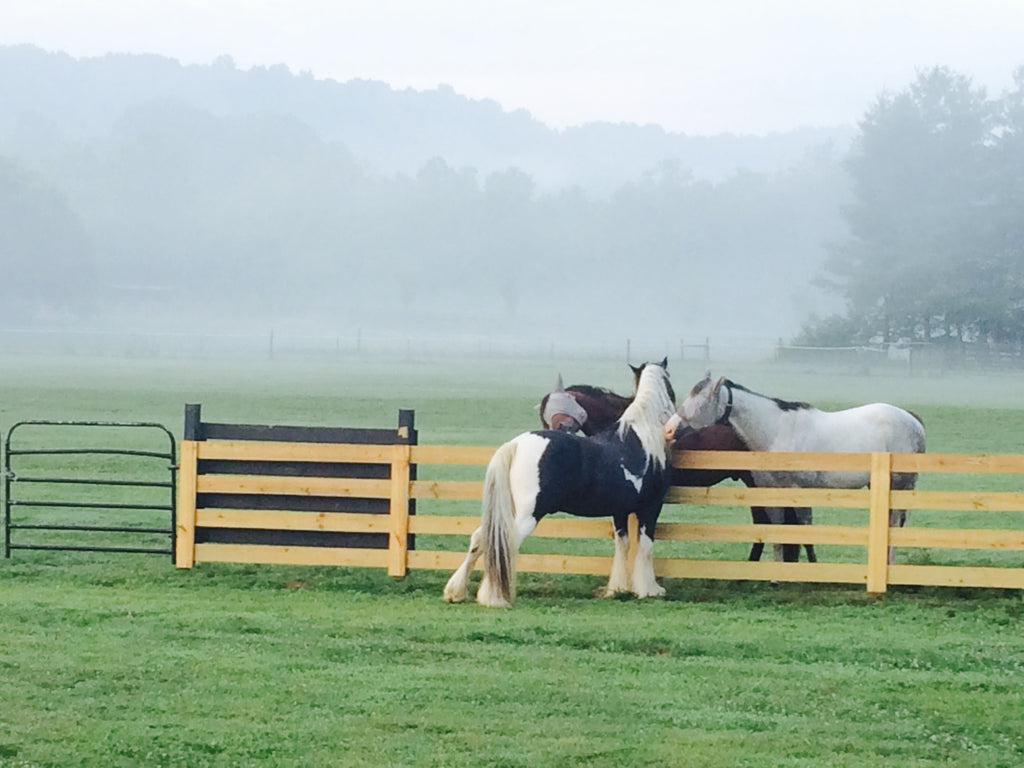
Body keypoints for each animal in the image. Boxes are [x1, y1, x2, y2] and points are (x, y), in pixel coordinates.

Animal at [444, 360, 675, 606]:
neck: (642, 434)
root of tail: (515, 445)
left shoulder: (620, 511)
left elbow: (622, 546)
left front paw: (619, 588)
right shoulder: (650, 508)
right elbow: (646, 546)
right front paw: (649, 590)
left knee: (482, 537)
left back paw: (456, 591)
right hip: (528, 515)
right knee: (505, 542)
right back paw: (494, 598)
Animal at [667, 376, 925, 561]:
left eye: (700, 401)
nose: (668, 429)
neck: (777, 431)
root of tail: (913, 419)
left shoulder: (799, 491)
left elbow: (804, 532)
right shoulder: (772, 493)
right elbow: (779, 531)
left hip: (900, 485)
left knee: (896, 524)